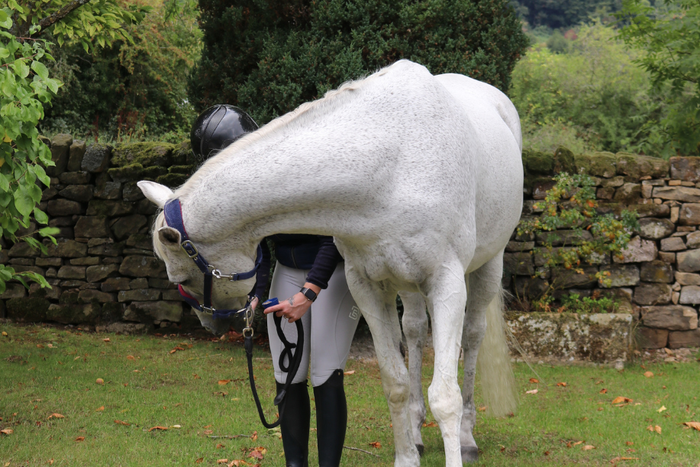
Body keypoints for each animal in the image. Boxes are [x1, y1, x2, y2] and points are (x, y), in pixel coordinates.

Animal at [138, 59, 523, 466]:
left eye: (182, 278)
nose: (210, 323)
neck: (390, 165)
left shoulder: (446, 283)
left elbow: (445, 397)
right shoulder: (368, 287)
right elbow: (395, 381)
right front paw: (406, 455)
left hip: (486, 267)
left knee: (474, 335)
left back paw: (466, 436)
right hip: (408, 286)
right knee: (416, 330)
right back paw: (417, 431)